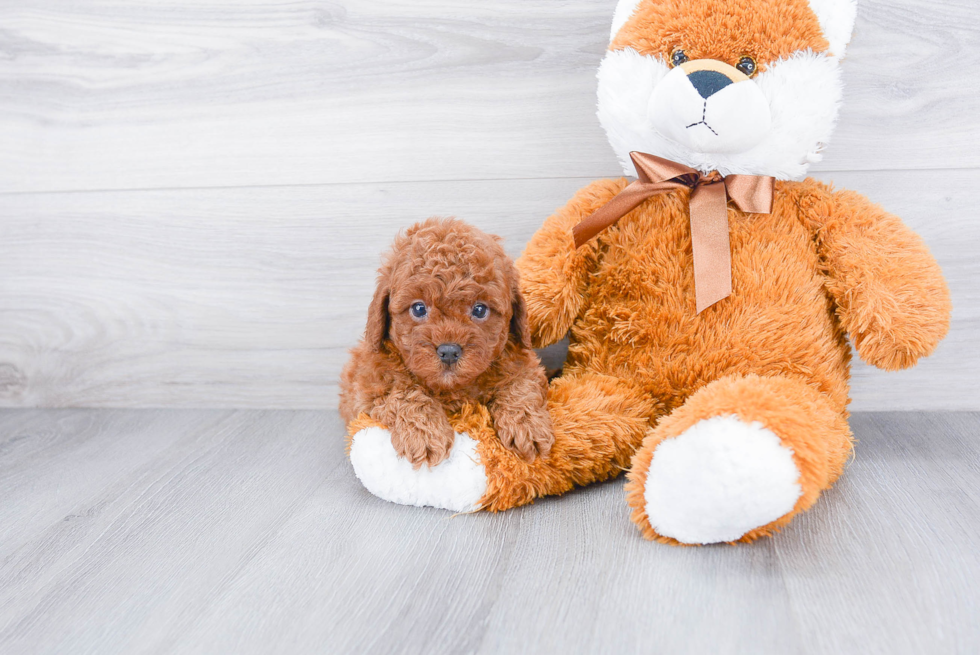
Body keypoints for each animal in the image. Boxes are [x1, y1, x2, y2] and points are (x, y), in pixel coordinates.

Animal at [340, 218, 556, 468]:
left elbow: (520, 385)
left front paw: (528, 426)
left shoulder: (524, 362)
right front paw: (425, 435)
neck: (452, 389)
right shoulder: (367, 387)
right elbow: (404, 393)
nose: (449, 351)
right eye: (419, 308)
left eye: (480, 310)